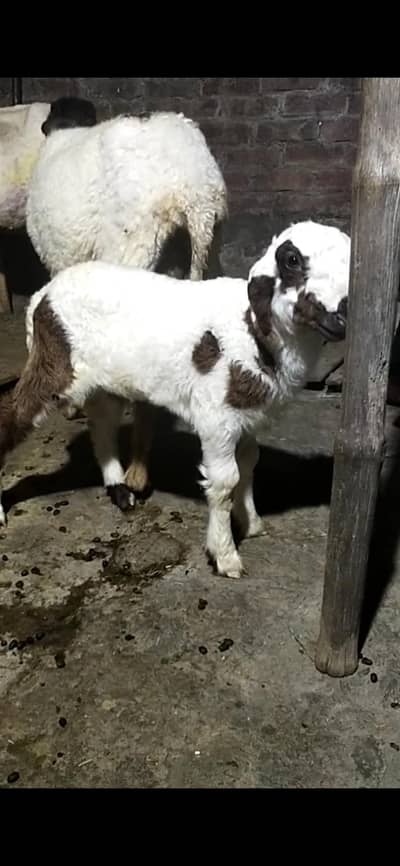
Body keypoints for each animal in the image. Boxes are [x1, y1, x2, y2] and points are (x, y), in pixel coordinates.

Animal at [0, 220, 349, 578]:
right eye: (292, 260)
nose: (341, 319)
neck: (250, 329)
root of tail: (42, 296)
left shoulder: (247, 416)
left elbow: (249, 462)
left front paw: (250, 522)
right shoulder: (216, 417)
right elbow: (226, 481)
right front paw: (225, 555)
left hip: (104, 379)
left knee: (102, 425)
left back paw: (119, 489)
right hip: (56, 363)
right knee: (12, 414)